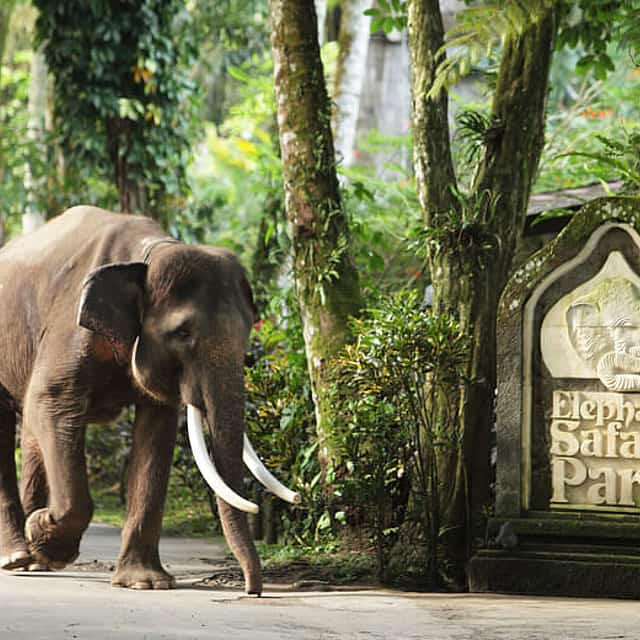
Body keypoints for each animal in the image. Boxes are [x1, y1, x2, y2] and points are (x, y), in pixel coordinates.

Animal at [0, 205, 298, 594]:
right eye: (183, 333)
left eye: (249, 330)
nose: (253, 590)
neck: (148, 254)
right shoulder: (68, 327)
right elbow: (53, 402)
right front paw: (44, 536)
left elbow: (156, 430)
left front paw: (145, 583)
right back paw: (17, 557)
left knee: (33, 434)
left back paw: (33, 562)